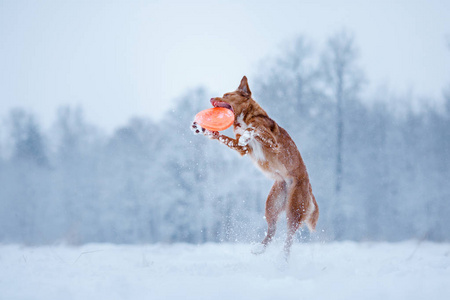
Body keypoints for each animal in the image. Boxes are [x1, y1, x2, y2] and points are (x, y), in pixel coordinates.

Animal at [192, 76, 318, 256]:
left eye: (227, 95)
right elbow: (224, 137)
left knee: (289, 237)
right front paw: (204, 130)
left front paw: (248, 132)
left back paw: (283, 258)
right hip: (272, 204)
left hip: (294, 208)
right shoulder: (241, 148)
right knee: (272, 230)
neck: (245, 117)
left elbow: (256, 129)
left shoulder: (272, 142)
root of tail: (309, 187)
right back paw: (260, 249)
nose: (211, 98)